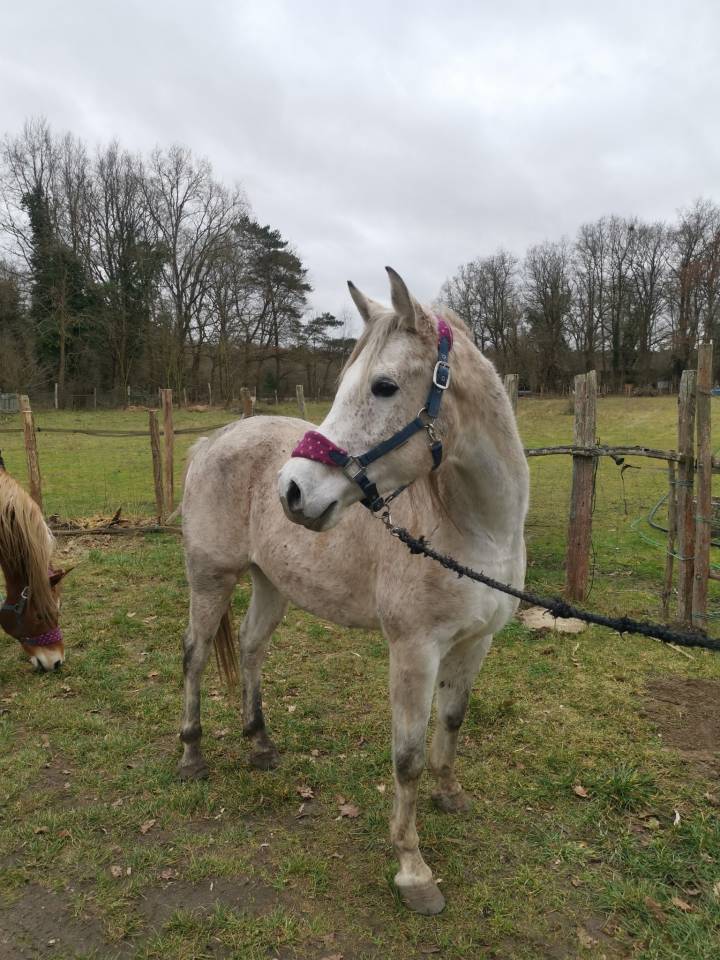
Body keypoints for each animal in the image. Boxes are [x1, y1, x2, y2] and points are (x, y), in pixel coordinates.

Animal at [178, 268, 529, 914]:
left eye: (384, 387)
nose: (292, 491)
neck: (477, 529)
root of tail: (215, 440)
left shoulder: (476, 643)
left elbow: (453, 721)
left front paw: (450, 794)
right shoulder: (414, 651)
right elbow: (406, 758)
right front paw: (413, 870)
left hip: (271, 583)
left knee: (250, 648)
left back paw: (260, 744)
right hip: (210, 578)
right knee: (194, 656)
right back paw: (192, 754)